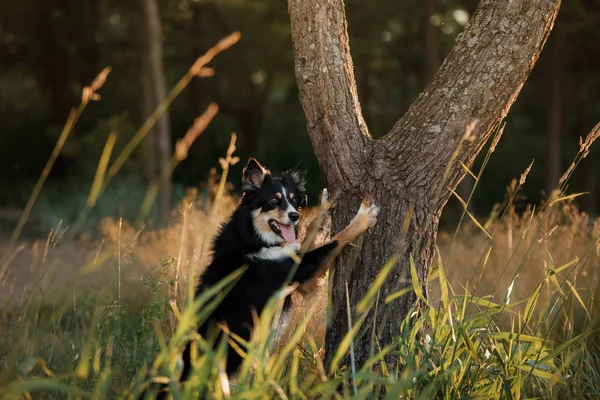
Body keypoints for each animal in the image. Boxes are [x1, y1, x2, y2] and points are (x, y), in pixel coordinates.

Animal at [169, 159, 380, 390]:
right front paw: (362, 219)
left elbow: (309, 233)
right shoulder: (298, 270)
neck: (254, 237)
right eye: (273, 200)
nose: (294, 216)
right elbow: (336, 240)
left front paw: (325, 207)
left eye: (294, 200)